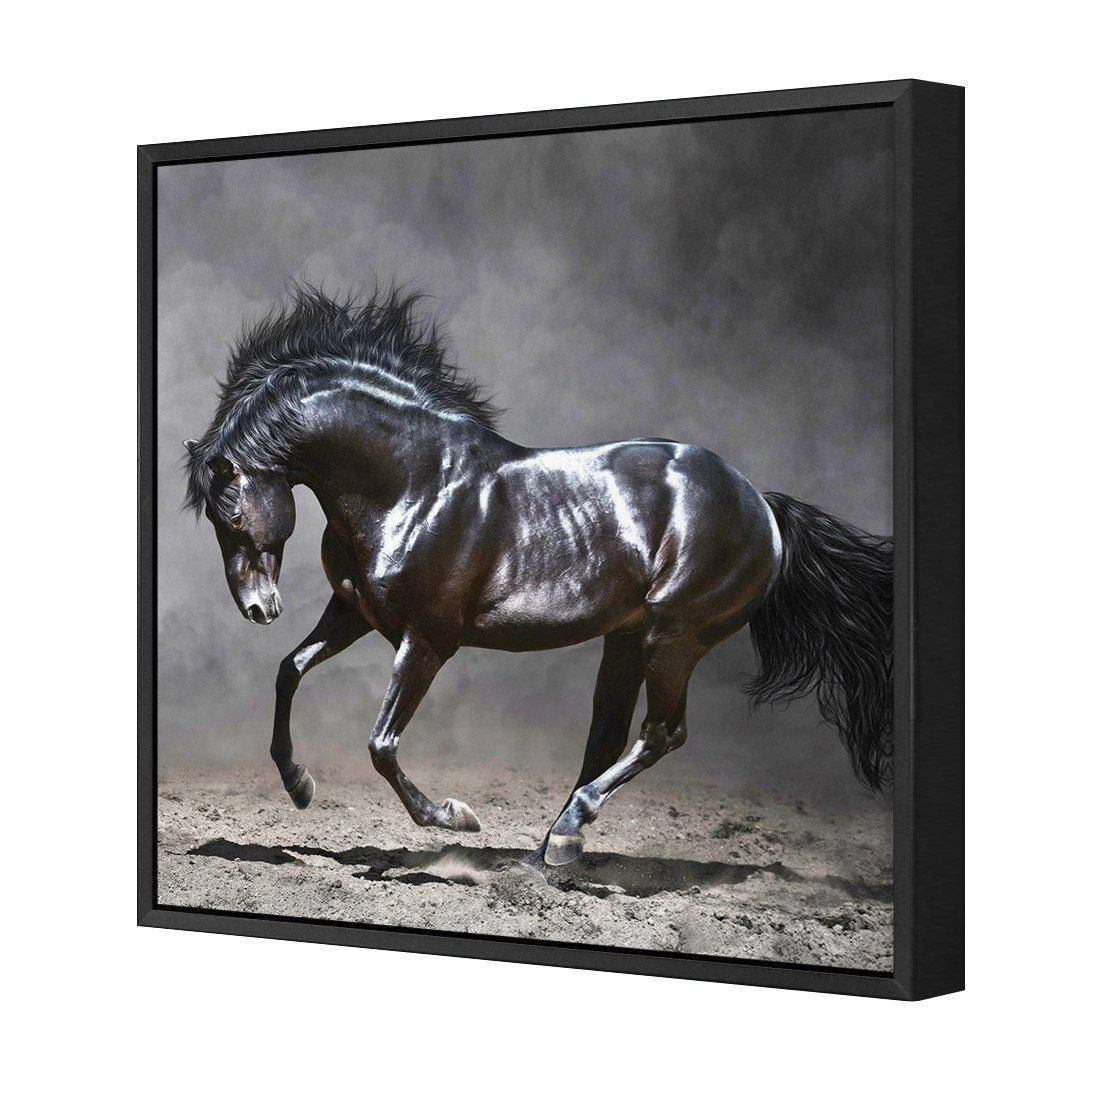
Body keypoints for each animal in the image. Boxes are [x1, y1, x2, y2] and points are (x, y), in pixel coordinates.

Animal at [184, 283, 893, 866]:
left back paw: (566, 837)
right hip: (627, 639)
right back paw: (551, 850)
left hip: (674, 637)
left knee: (661, 733)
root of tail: (761, 505)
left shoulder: (428, 639)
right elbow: (289, 670)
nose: (258, 608)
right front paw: (299, 785)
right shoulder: (355, 612)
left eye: (230, 507)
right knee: (607, 738)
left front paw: (455, 818)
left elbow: (381, 744)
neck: (413, 483)